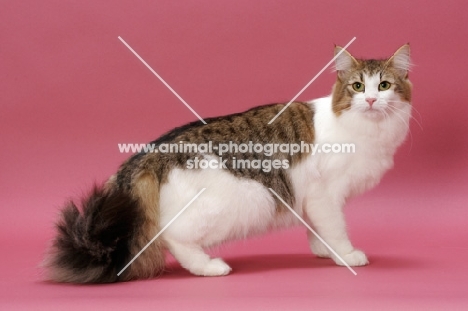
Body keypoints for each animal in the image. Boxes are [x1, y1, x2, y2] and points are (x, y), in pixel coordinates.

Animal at [43, 44, 410, 286]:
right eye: (358, 86)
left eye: (385, 85)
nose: (372, 100)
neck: (368, 129)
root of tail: (151, 152)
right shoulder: (326, 195)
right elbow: (335, 228)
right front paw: (346, 255)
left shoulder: (310, 199)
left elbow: (316, 229)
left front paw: (324, 251)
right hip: (246, 200)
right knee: (172, 236)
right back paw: (209, 267)